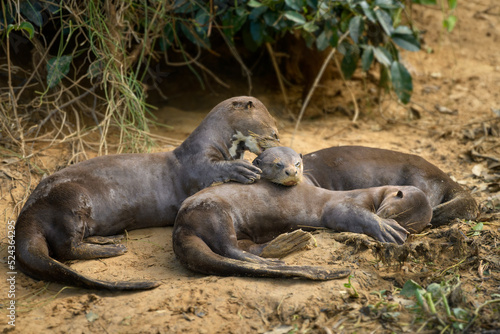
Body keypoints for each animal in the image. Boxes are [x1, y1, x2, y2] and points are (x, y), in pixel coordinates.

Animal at [16, 96, 282, 290]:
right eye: (272, 130)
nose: (278, 139)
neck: (213, 143)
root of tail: (26, 212)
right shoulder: (199, 165)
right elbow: (215, 170)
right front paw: (243, 169)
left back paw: (109, 240)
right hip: (70, 197)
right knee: (66, 248)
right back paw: (114, 249)